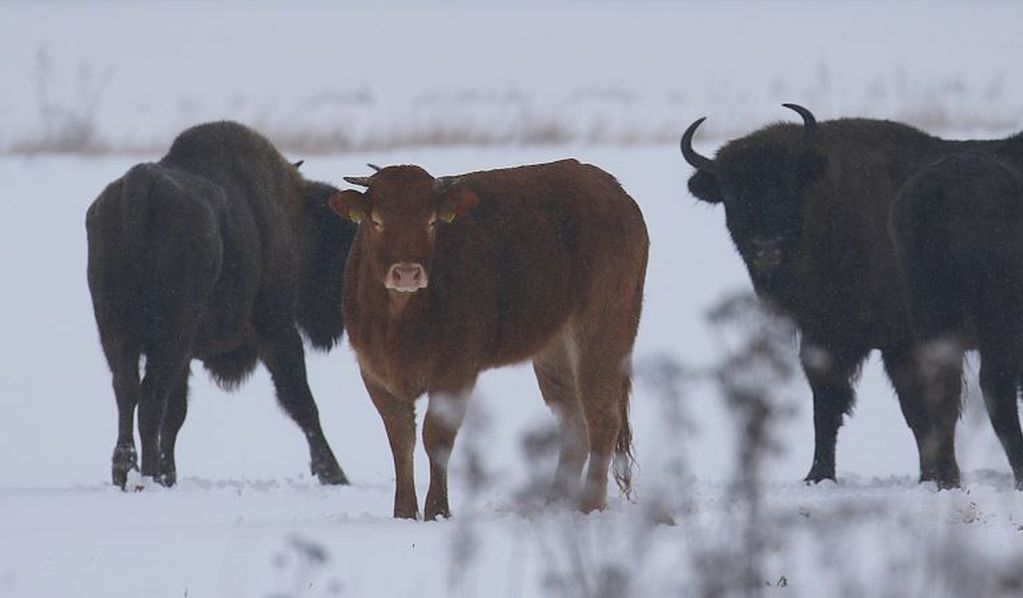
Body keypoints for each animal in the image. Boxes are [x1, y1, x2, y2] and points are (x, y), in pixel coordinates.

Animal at [85, 119, 356, 486]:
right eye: (341, 246)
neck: (292, 216)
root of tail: (140, 188)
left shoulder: (186, 357)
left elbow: (177, 413)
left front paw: (170, 475)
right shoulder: (276, 329)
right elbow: (300, 400)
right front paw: (334, 474)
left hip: (117, 332)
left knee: (127, 391)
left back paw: (127, 473)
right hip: (170, 336)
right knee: (150, 397)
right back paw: (147, 476)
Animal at [327, 158, 646, 517]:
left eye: (431, 222)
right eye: (377, 221)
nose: (407, 273)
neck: (398, 321)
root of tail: (610, 188)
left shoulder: (457, 368)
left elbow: (436, 435)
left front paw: (437, 511)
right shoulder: (373, 370)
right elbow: (401, 438)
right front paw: (404, 514)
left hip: (603, 331)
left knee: (602, 418)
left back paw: (588, 506)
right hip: (554, 351)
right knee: (574, 425)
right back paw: (553, 505)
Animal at [683, 102, 1010, 484]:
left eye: (788, 184)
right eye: (733, 194)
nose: (767, 248)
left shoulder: (900, 344)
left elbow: (917, 410)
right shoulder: (826, 339)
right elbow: (829, 407)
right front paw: (817, 476)